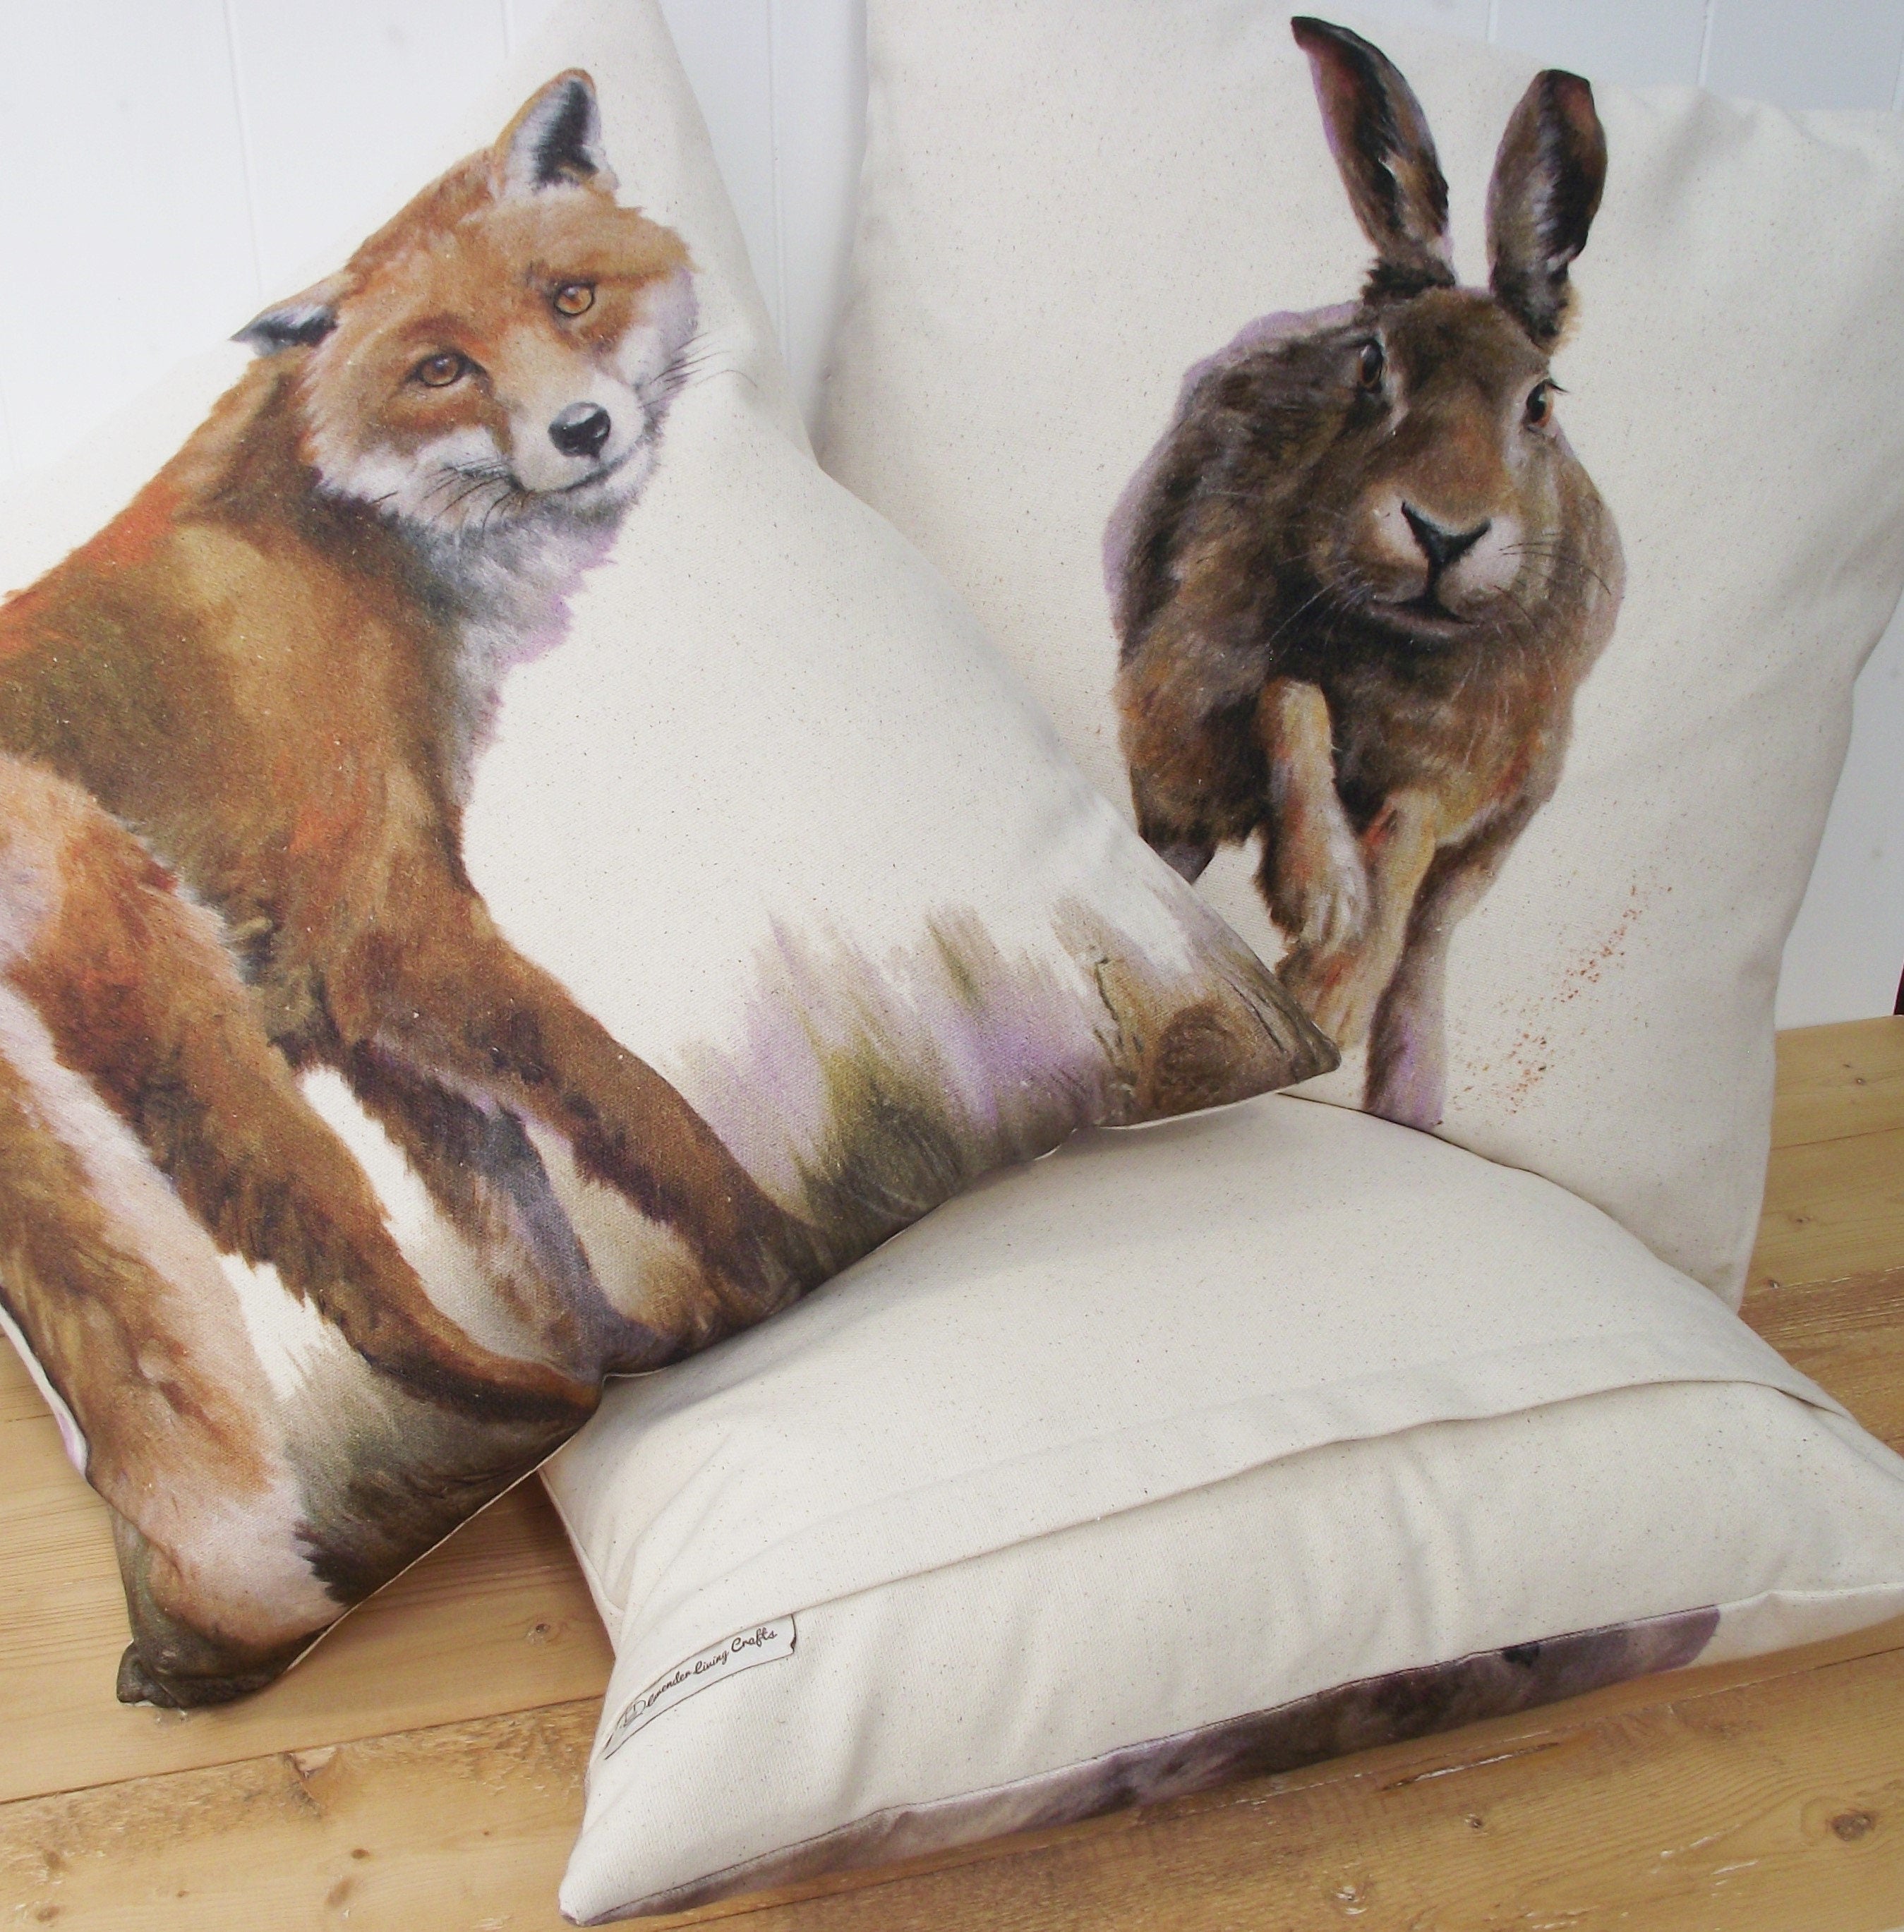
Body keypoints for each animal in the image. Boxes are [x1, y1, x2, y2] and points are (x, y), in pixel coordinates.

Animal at [1109, 16, 1623, 1132]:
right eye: (1372, 367)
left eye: (1540, 402)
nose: (1443, 532)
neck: (1396, 642)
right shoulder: (1204, 683)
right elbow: (1291, 698)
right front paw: (1323, 902)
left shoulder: (1464, 767)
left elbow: (1411, 833)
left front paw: (1330, 982)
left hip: (1496, 840)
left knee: (1429, 944)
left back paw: (1404, 1094)